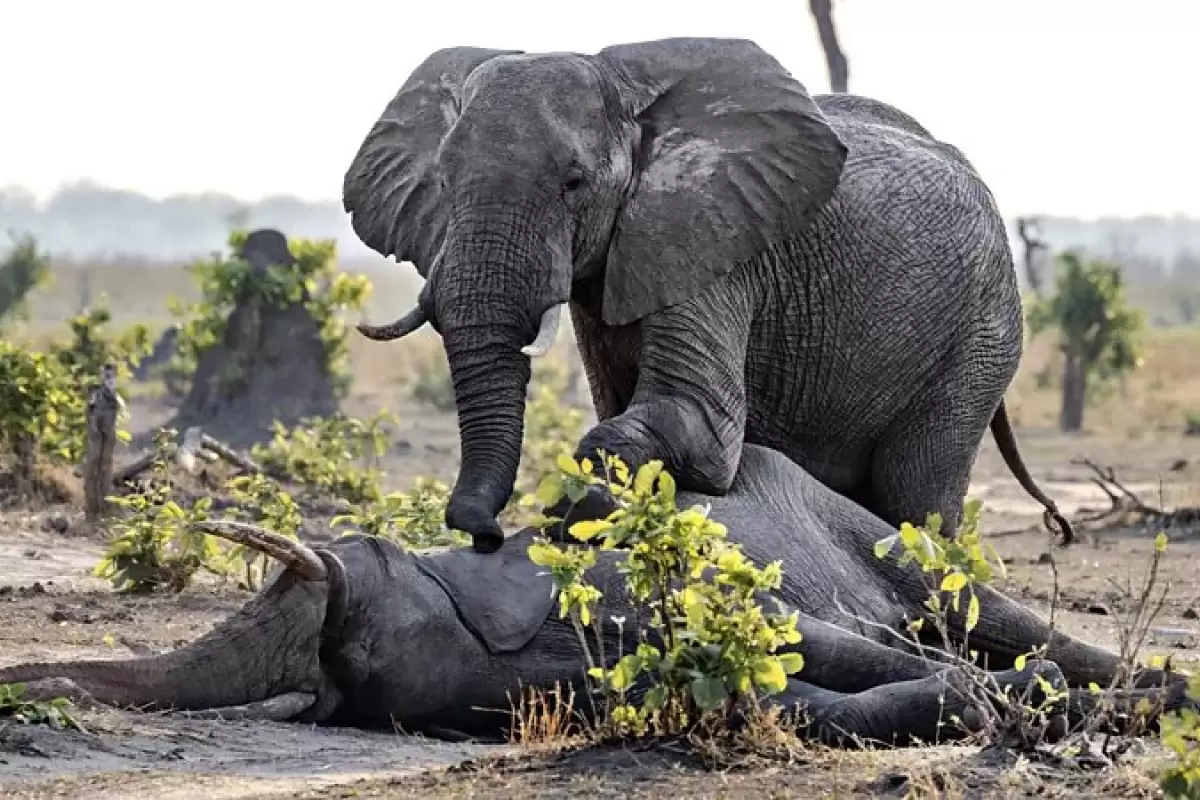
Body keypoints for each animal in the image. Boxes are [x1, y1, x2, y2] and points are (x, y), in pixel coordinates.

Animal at [0, 448, 1180, 748]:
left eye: (364, 561)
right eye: (351, 681)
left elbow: (824, 649)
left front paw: (1023, 707)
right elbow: (795, 701)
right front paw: (998, 713)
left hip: (884, 536)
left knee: (987, 615)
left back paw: (1145, 694)